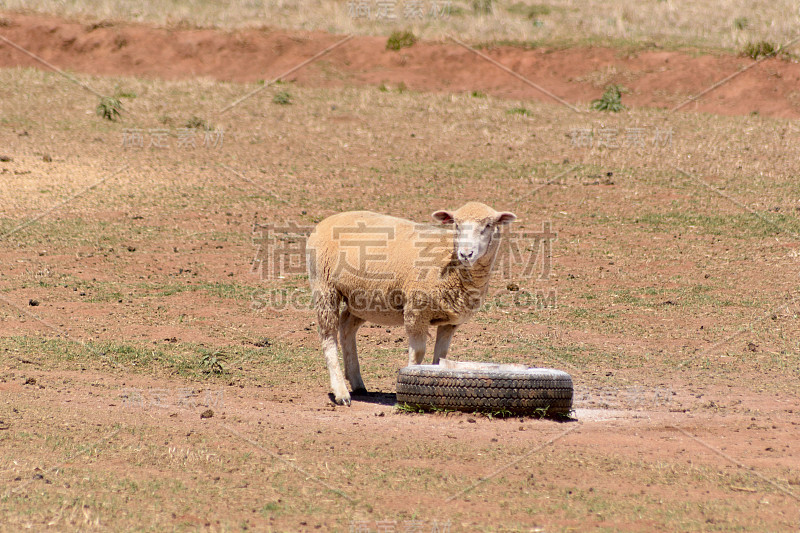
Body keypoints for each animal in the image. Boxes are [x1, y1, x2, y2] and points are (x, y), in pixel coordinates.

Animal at [306, 201, 520, 404]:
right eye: (456, 225)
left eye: (488, 225)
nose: (466, 254)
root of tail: (329, 219)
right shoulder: (416, 311)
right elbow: (418, 353)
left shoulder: (450, 322)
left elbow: (441, 357)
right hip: (324, 286)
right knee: (328, 337)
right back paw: (341, 392)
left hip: (363, 299)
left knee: (347, 326)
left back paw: (357, 383)